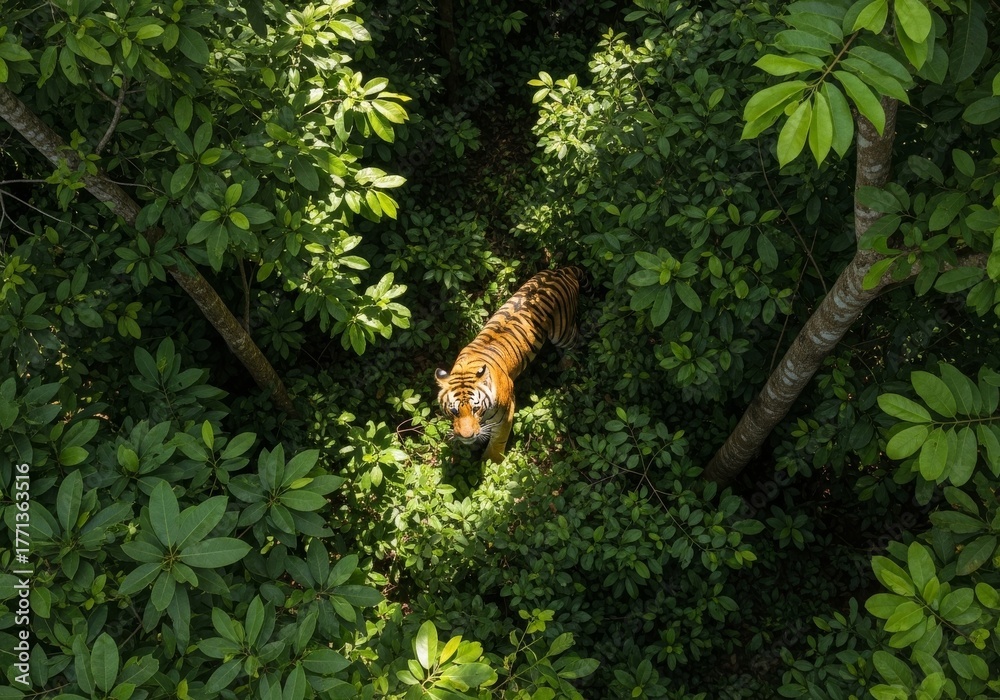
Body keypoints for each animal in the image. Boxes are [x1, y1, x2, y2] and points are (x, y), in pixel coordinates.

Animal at [435, 266, 587, 464]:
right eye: (453, 411)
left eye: (476, 408)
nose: (466, 436)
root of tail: (562, 270)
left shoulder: (506, 415)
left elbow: (497, 442)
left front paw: (491, 463)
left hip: (562, 332)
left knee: (578, 343)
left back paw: (566, 365)